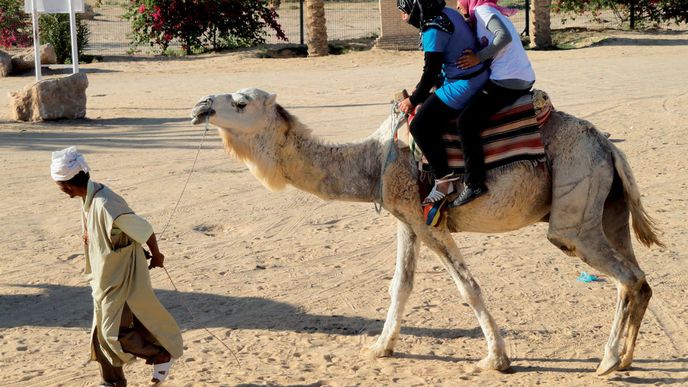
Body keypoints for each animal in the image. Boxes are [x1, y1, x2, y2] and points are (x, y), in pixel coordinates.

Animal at [191, 88, 664, 376]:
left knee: (625, 277)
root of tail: (608, 146)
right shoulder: (407, 219)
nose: (201, 105)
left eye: (241, 102)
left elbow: (468, 287)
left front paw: (496, 359)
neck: (373, 160)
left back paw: (606, 362)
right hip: (609, 211)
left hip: (573, 215)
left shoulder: (429, 219)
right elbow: (400, 286)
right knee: (639, 279)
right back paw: (625, 360)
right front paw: (380, 348)